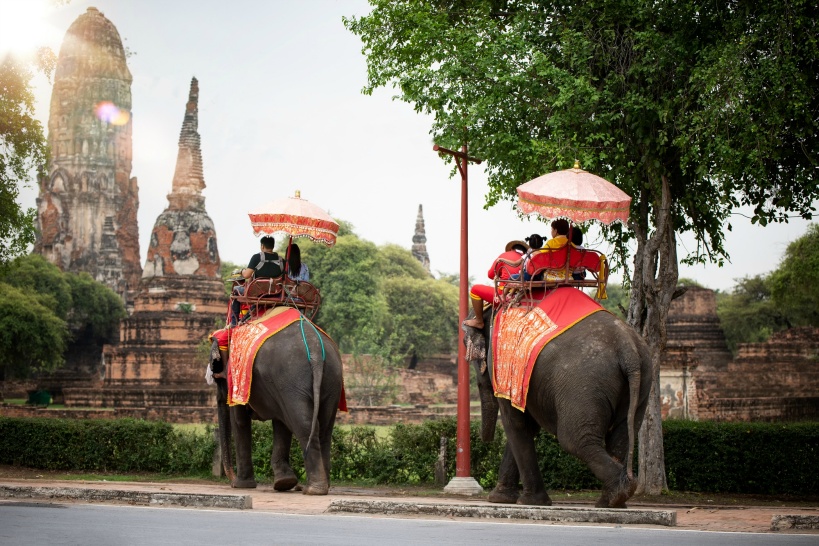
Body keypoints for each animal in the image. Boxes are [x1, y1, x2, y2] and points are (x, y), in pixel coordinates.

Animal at [211, 314, 342, 492]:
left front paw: (242, 485)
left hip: (292, 379)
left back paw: (313, 490)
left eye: (216, 375)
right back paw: (322, 486)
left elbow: (239, 421)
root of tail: (314, 348)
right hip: (332, 378)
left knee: (305, 426)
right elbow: (281, 424)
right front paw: (285, 482)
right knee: (325, 429)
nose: (230, 481)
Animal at [464, 302, 652, 506]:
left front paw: (525, 502)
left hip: (583, 384)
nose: (484, 439)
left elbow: (517, 423)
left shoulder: (504, 365)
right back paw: (613, 501)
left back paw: (618, 494)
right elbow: (529, 426)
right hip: (642, 380)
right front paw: (501, 499)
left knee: (574, 440)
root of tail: (628, 349)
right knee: (621, 436)